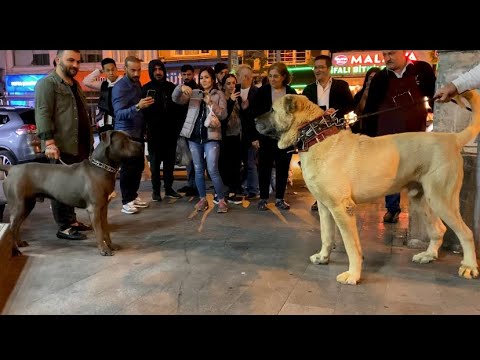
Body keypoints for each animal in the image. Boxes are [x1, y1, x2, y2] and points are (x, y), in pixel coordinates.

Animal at [0, 129, 142, 256]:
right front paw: (104, 250)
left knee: (16, 227)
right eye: (124, 140)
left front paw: (111, 246)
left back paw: (20, 243)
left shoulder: (103, 208)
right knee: (11, 228)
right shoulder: (94, 209)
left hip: (27, 205)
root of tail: (11, 168)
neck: (100, 168)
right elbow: (99, 232)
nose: (141, 145)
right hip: (18, 206)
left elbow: (106, 230)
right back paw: (15, 250)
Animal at [255, 90, 480, 284]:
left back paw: (469, 266)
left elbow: (351, 245)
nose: (254, 120)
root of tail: (452, 138)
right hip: (421, 199)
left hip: (441, 199)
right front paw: (323, 257)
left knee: (466, 233)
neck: (316, 136)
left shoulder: (342, 208)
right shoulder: (325, 207)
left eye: (272, 109)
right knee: (438, 229)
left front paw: (353, 275)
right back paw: (428, 255)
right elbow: (326, 235)